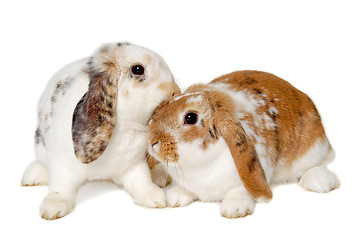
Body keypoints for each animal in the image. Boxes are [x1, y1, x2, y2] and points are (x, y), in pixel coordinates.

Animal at [21, 41, 180, 219]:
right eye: (138, 69)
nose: (175, 90)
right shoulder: (61, 166)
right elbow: (60, 188)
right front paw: (53, 208)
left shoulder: (133, 165)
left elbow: (141, 181)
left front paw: (155, 198)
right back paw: (33, 176)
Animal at [146, 70, 338, 219]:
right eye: (161, 107)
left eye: (190, 117)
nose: (151, 141)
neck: (198, 166)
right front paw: (175, 197)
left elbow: (240, 189)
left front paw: (234, 209)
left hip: (313, 149)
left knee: (317, 165)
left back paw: (319, 182)